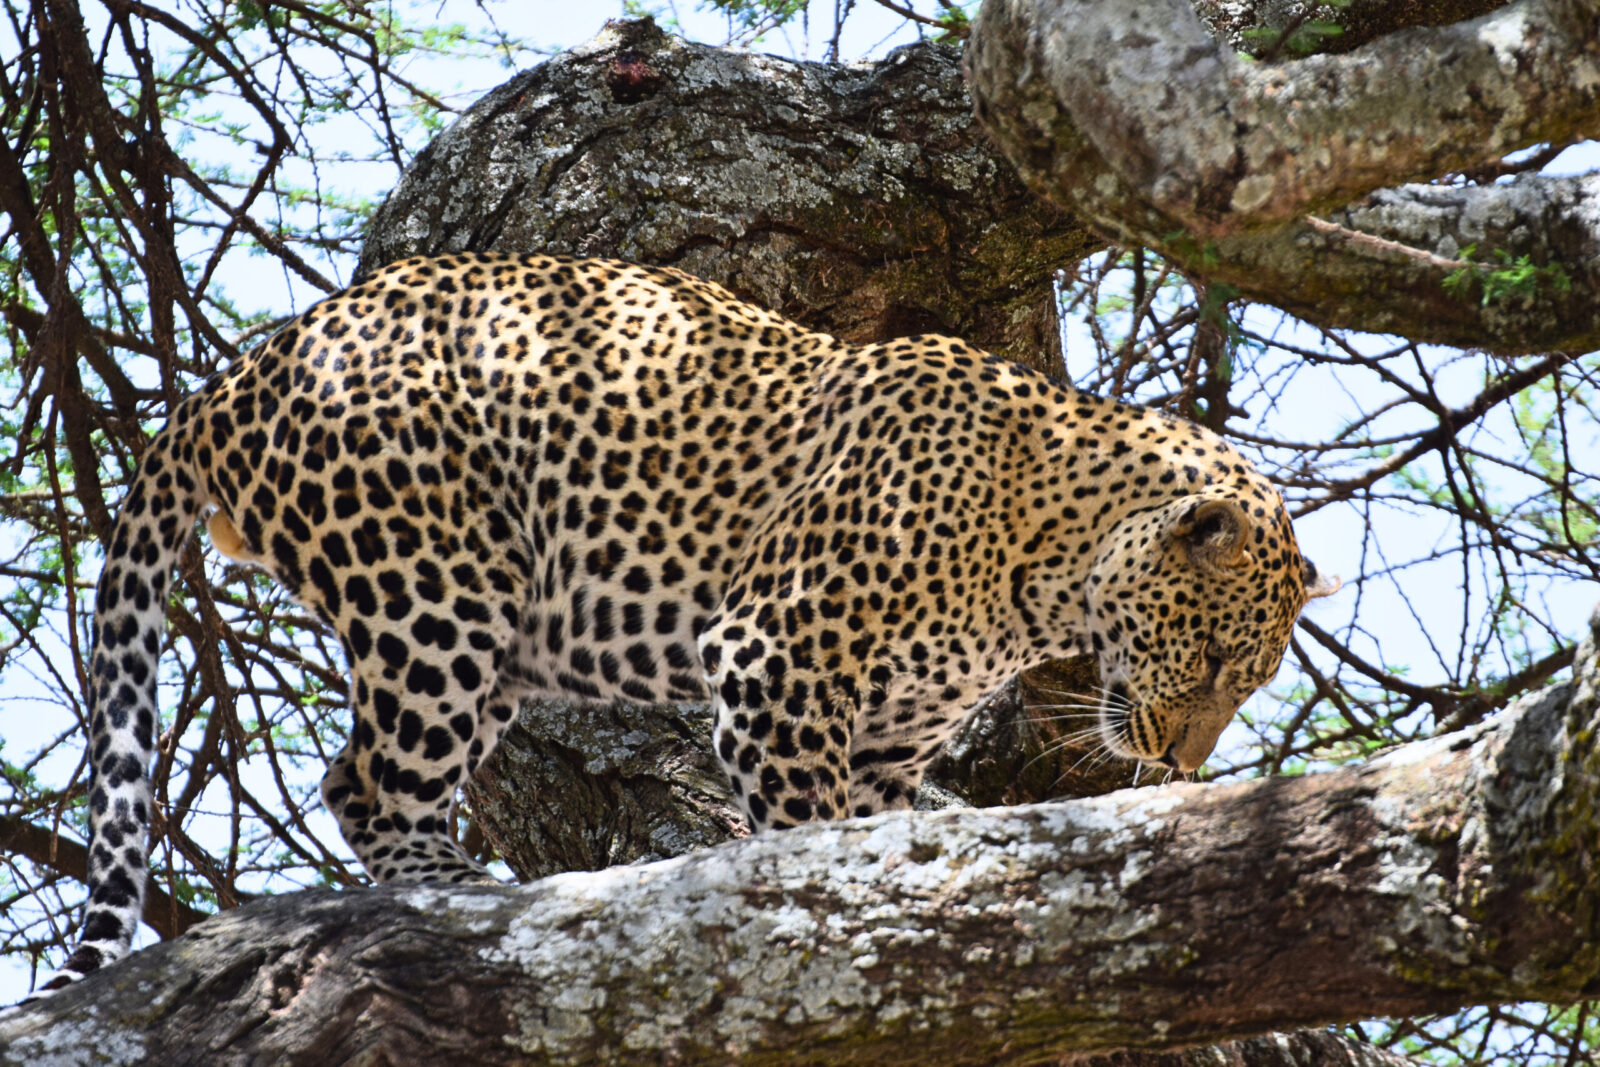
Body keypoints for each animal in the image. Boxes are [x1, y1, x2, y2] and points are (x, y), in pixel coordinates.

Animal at [42, 251, 1336, 994]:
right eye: (1210, 660)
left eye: (1245, 683)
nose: (1179, 761)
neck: (1044, 558)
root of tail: (237, 375)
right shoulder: (777, 655)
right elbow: (798, 829)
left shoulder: (883, 738)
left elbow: (867, 829)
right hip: (432, 586)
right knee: (366, 780)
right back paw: (452, 884)